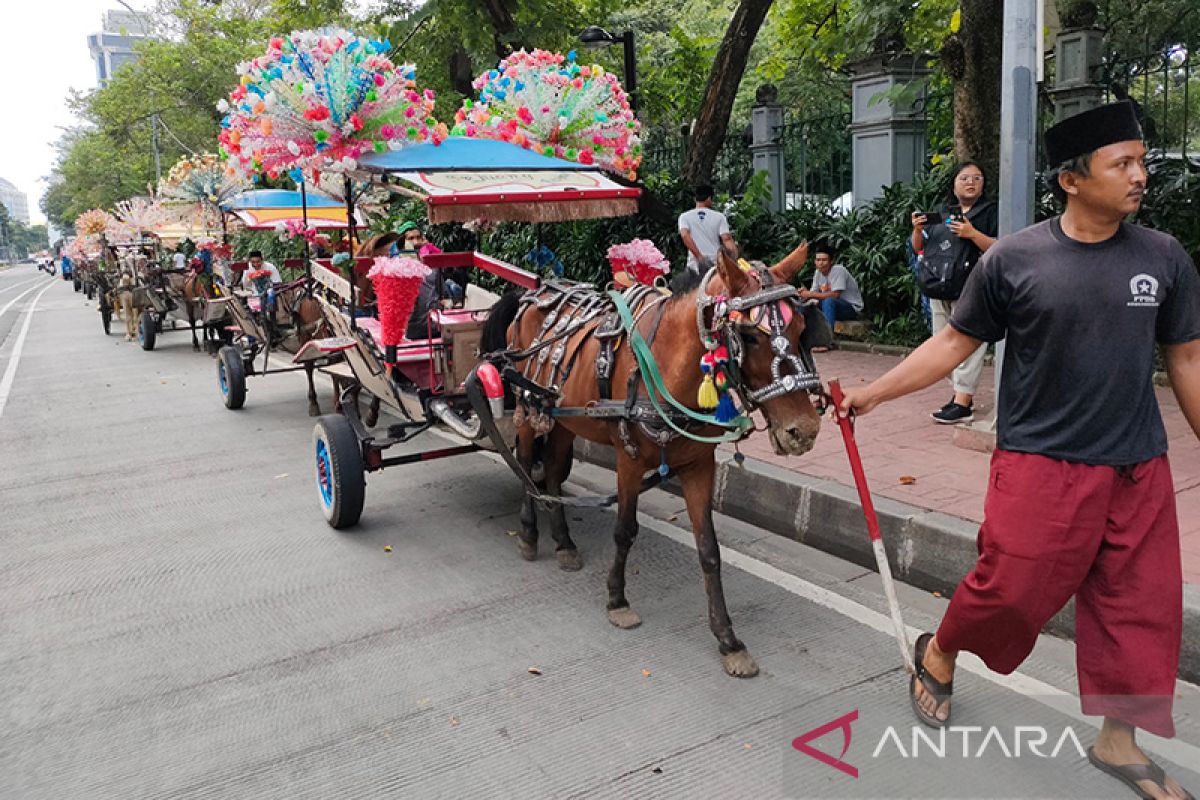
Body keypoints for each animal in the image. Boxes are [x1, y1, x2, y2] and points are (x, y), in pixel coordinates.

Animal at [482, 242, 820, 676]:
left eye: (802, 329)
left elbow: (709, 550)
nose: (804, 430)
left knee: (553, 469)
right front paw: (617, 600)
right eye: (748, 335)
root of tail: (534, 292)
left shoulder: (699, 466)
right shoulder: (629, 460)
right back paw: (528, 534)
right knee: (526, 464)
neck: (669, 368)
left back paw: (564, 543)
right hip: (528, 407)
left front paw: (728, 639)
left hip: (565, 417)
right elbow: (625, 531)